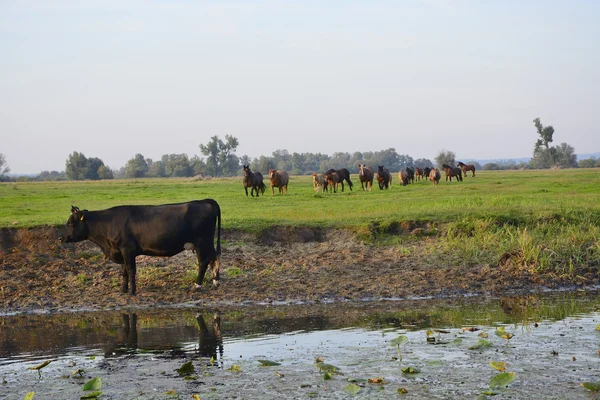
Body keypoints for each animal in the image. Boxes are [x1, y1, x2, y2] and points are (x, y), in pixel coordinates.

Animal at [58, 199, 221, 296]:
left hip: (202, 241)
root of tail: (204, 201)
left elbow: (131, 270)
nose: (60, 238)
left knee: (203, 262)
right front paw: (123, 290)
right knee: (214, 258)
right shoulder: (121, 251)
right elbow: (124, 271)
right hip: (207, 242)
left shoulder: (127, 250)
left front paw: (132, 291)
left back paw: (196, 286)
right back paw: (215, 282)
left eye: (71, 223)